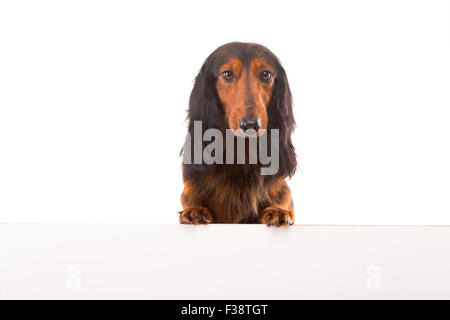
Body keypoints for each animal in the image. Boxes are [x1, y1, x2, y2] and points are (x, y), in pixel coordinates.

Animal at [178, 42, 298, 226]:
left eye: (266, 74)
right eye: (227, 74)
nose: (250, 124)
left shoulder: (282, 189)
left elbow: (283, 199)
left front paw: (277, 211)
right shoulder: (190, 188)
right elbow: (191, 199)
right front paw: (195, 211)